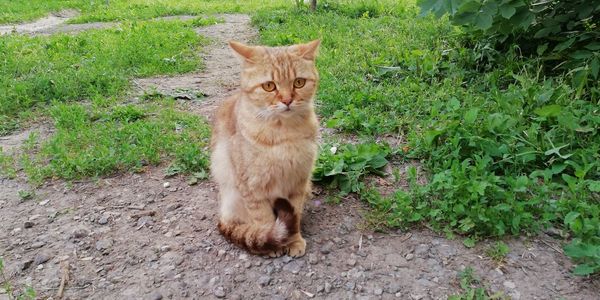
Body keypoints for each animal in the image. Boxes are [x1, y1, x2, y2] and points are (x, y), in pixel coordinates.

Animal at [212, 38, 324, 256]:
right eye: (269, 86)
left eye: (299, 82)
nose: (287, 100)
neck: (283, 135)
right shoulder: (252, 187)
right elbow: (263, 219)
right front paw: (271, 241)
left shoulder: (298, 182)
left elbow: (294, 215)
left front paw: (293, 241)